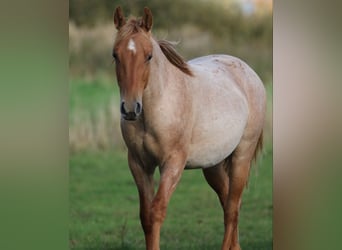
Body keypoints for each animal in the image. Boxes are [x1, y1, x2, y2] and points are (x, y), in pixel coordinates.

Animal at [113, 6, 266, 250]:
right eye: (115, 55)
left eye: (149, 56)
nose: (129, 108)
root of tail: (248, 72)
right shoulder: (139, 164)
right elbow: (145, 216)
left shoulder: (173, 163)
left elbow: (156, 212)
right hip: (213, 165)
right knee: (228, 202)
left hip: (242, 156)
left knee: (232, 209)